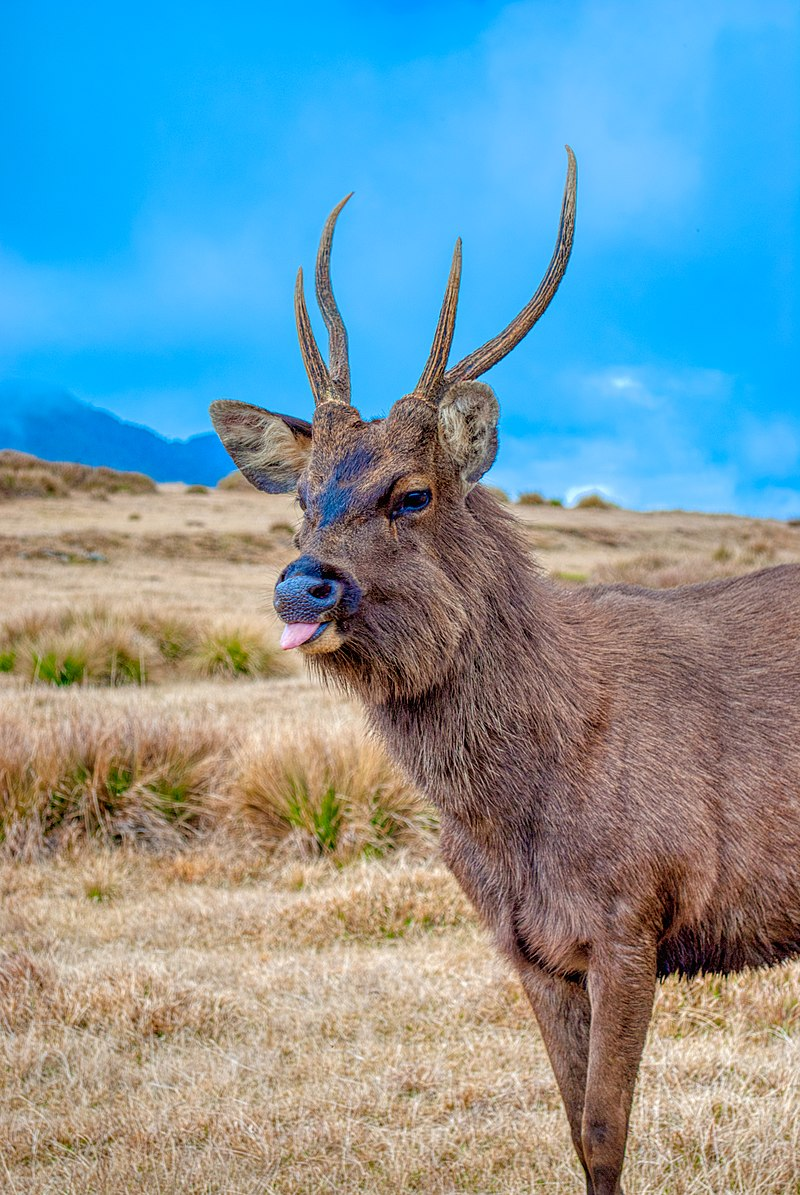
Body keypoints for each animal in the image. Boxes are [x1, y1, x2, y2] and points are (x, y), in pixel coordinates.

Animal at [209, 151, 798, 1195]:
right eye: (304, 501)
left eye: (411, 494)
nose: (301, 585)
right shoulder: (525, 945)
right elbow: (573, 1128)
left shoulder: (632, 916)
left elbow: (604, 1127)